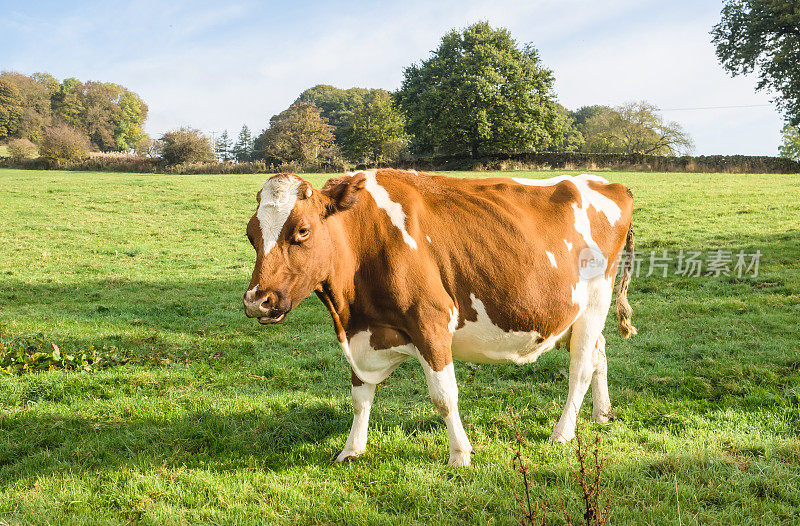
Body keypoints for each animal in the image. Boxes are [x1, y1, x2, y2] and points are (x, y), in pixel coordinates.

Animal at [241, 168, 636, 466]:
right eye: (250, 235)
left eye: (302, 231)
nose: (256, 301)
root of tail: (608, 183)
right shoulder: (361, 333)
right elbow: (359, 395)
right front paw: (352, 450)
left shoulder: (430, 323)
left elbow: (444, 396)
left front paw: (460, 455)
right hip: (577, 316)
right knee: (599, 353)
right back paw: (602, 414)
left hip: (596, 300)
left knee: (581, 368)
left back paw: (562, 433)